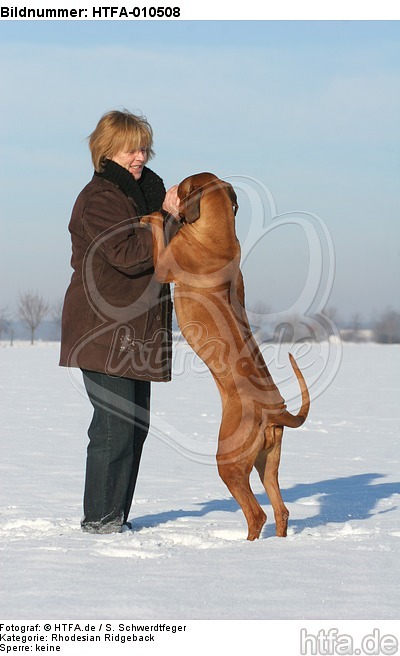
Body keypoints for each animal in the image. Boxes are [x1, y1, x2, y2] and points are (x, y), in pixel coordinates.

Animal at [142, 172, 310, 540]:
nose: (169, 190)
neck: (217, 235)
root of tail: (275, 410)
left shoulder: (164, 267)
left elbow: (160, 232)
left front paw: (152, 216)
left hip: (228, 462)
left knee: (256, 513)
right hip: (267, 462)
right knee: (281, 509)